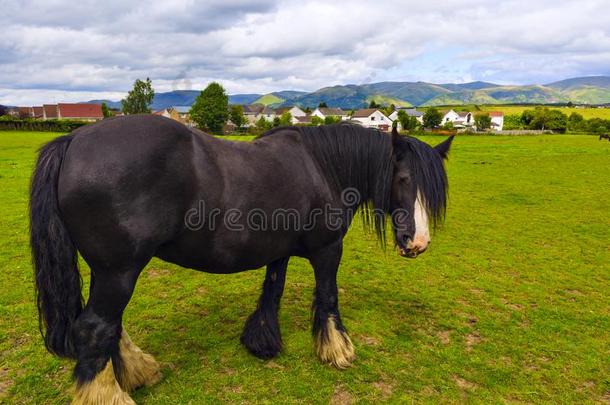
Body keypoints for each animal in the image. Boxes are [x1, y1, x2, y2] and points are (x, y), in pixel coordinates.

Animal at [32, 115, 452, 402]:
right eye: (403, 180)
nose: (418, 242)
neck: (322, 167)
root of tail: (73, 139)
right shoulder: (328, 249)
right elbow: (328, 296)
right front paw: (337, 350)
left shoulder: (279, 250)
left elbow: (273, 290)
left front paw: (262, 341)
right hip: (119, 270)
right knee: (95, 328)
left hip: (109, 271)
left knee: (110, 326)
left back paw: (138, 372)